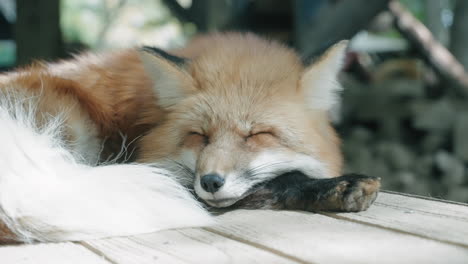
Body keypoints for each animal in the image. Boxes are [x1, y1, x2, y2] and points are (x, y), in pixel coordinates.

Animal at [0, 33, 380, 243]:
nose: (211, 181)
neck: (147, 113)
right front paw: (335, 186)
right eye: (199, 135)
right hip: (73, 128)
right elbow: (278, 181)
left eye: (257, 135)